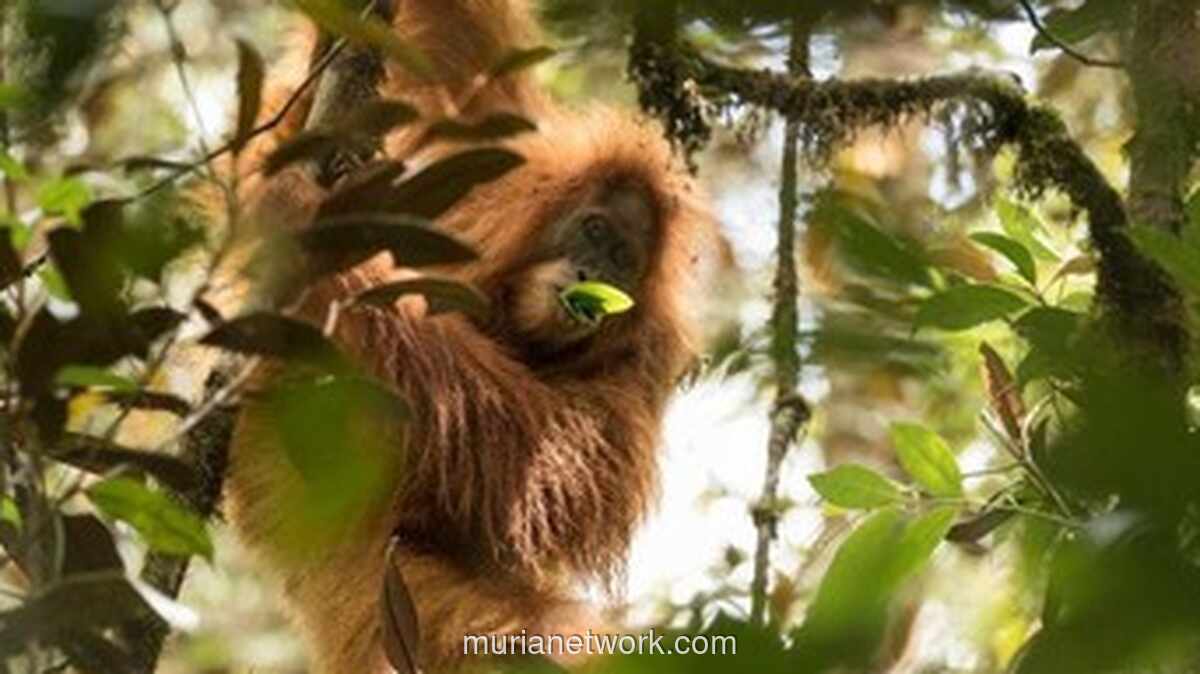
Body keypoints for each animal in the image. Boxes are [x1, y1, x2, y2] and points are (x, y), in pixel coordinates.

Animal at [222, 1, 726, 672]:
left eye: (624, 260)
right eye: (594, 231)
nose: (593, 275)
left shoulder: (639, 370)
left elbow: (536, 469)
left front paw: (308, 226)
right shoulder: (496, 157)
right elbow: (453, 50)